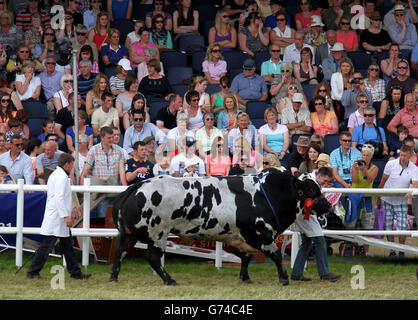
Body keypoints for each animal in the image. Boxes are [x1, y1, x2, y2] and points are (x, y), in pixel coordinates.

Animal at [109, 168, 332, 284]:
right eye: (312, 190)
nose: (328, 205)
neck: (266, 194)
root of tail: (136, 187)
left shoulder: (243, 238)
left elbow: (246, 257)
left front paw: (245, 277)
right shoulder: (260, 234)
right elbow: (276, 254)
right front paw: (284, 278)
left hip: (128, 235)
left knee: (119, 253)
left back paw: (114, 277)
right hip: (158, 234)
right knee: (153, 258)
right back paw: (169, 280)